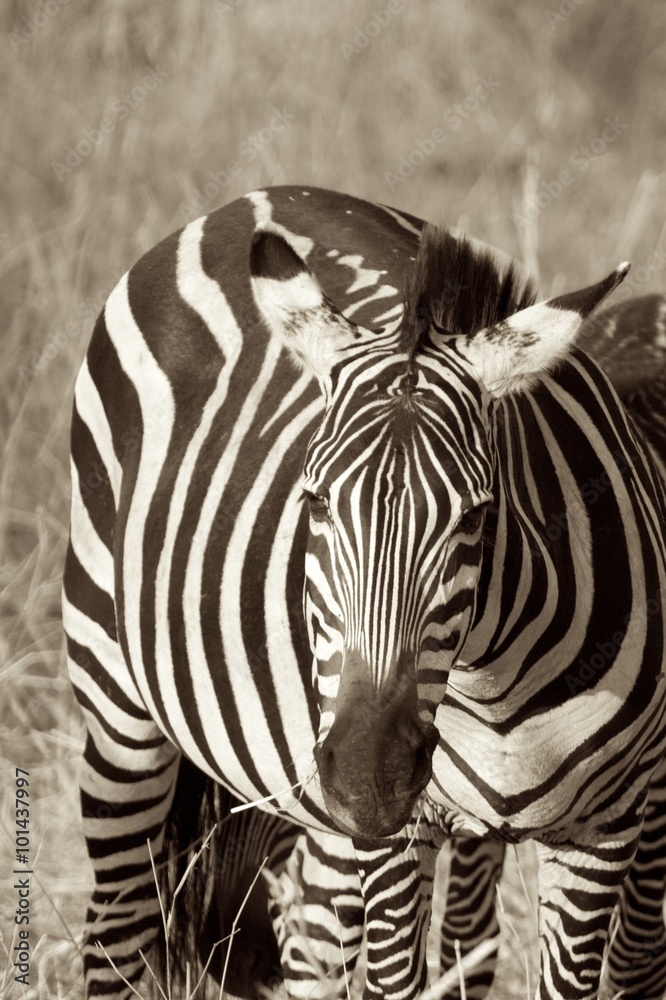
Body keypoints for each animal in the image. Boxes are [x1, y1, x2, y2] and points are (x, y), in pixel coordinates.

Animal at [63, 184, 666, 999]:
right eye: (314, 503)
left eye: (476, 516)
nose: (365, 779)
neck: (496, 687)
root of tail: (255, 197)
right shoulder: (395, 839)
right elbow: (391, 977)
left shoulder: (607, 825)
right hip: (117, 700)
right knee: (120, 933)